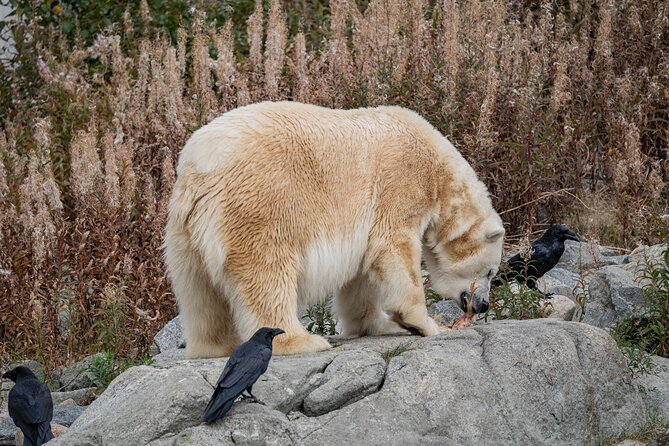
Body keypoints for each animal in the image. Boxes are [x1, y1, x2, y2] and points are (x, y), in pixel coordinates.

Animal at [164, 101, 504, 358]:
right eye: (490, 272)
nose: (484, 305)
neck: (439, 170)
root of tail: (201, 167)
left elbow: (362, 275)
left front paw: (380, 325)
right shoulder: (400, 183)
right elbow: (393, 247)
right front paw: (426, 324)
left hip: (183, 230)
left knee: (198, 291)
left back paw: (216, 346)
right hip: (262, 204)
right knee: (267, 274)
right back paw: (301, 340)